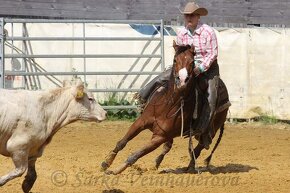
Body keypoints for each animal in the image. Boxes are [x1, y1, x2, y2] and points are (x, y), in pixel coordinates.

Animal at [102, 41, 231, 175]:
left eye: (192, 62)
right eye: (175, 60)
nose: (182, 80)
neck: (168, 105)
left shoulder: (159, 137)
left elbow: (136, 154)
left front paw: (116, 170)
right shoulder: (141, 122)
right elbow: (122, 142)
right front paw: (106, 163)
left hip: (211, 128)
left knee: (198, 148)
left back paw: (190, 167)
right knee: (169, 146)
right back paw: (156, 164)